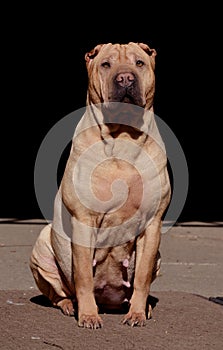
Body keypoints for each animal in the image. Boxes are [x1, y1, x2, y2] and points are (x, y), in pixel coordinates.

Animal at [30, 42, 171, 330]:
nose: (125, 78)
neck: (123, 137)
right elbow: (83, 275)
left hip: (159, 256)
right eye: (106, 65)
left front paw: (137, 314)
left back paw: (145, 307)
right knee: (58, 293)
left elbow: (141, 277)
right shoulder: (84, 220)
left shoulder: (152, 225)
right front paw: (88, 316)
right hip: (42, 249)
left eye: (139, 63)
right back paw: (70, 305)